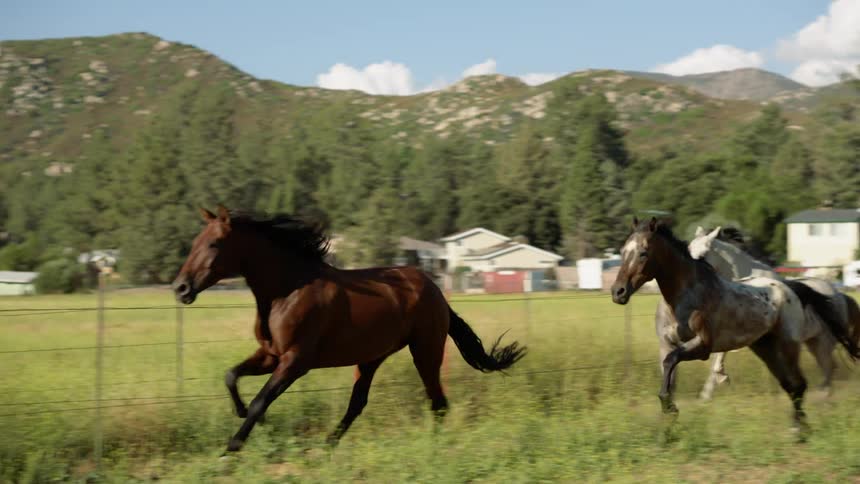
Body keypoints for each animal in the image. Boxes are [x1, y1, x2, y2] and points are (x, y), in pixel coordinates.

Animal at [172, 206, 526, 453]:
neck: (287, 291)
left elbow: (262, 400)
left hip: (425, 350)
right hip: (371, 358)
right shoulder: (271, 355)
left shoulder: (296, 361)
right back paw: (328, 445)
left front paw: (233, 446)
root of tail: (434, 289)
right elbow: (231, 376)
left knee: (437, 402)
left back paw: (432, 447)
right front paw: (243, 413)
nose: (180, 288)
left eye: (215, 243)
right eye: (195, 242)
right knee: (358, 403)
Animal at [688, 226, 860, 399]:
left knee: (828, 367)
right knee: (829, 367)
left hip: (823, 342)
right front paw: (707, 394)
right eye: (688, 249)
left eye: (703, 254)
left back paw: (822, 396)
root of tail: (839, 294)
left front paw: (720, 380)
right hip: (813, 341)